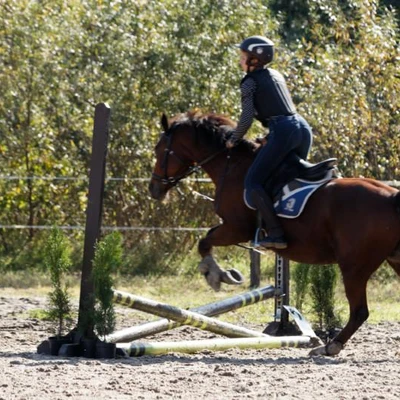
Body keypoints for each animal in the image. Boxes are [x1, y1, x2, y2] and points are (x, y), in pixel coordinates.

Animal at [149, 110, 400, 356]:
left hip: (353, 267)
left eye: (159, 149)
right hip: (393, 260)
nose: (154, 189)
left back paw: (332, 346)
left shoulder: (236, 228)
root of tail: (392, 197)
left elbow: (204, 241)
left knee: (359, 311)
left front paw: (216, 275)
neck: (232, 165)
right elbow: (206, 240)